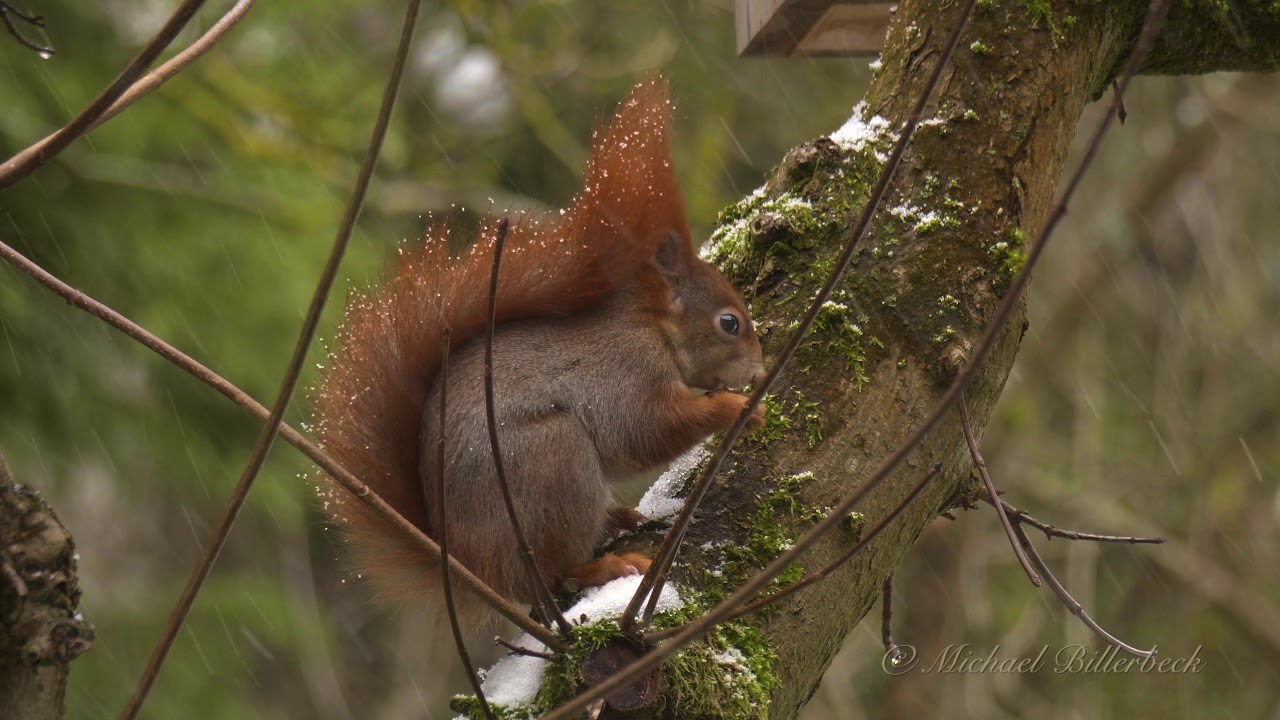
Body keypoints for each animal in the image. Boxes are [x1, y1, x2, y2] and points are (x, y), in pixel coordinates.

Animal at [312, 80, 765, 616]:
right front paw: (735, 409)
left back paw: (619, 518)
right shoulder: (625, 369)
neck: (653, 327)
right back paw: (600, 566)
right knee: (553, 573)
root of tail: (470, 566)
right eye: (730, 323)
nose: (759, 370)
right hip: (553, 460)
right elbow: (643, 431)